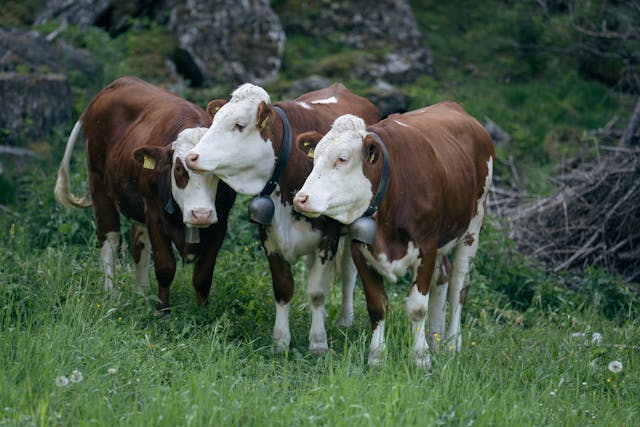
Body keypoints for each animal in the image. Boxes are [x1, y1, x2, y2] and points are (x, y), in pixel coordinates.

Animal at [54, 76, 236, 313]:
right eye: (179, 168)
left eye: (216, 166)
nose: (201, 214)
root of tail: (118, 83)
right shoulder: (154, 213)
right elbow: (165, 266)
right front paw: (162, 311)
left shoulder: (221, 220)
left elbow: (203, 273)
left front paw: (203, 312)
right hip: (98, 183)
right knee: (109, 239)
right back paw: (111, 296)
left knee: (138, 245)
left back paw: (141, 295)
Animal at [185, 83, 380, 353]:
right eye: (215, 119)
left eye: (239, 124)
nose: (192, 157)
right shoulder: (269, 238)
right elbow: (283, 288)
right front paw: (280, 341)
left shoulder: (327, 239)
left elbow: (317, 293)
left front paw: (318, 342)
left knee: (348, 272)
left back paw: (344, 319)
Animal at [292, 102, 494, 367]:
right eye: (315, 158)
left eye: (342, 159)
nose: (301, 198)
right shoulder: (361, 250)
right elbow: (377, 305)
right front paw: (377, 357)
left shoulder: (426, 248)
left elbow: (417, 307)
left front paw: (420, 359)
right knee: (443, 276)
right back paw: (435, 337)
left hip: (473, 227)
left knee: (458, 285)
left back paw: (452, 344)